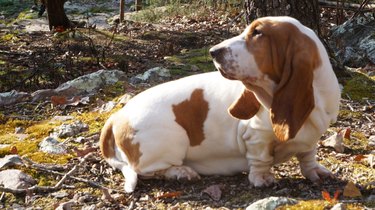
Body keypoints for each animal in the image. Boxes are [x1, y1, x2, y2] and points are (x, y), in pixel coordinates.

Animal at [99, 16, 340, 193]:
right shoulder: (256, 136)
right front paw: (262, 178)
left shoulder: (311, 139)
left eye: (258, 33)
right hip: (173, 141)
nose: (213, 52)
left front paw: (315, 172)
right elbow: (260, 158)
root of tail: (117, 116)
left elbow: (308, 155)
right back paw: (182, 172)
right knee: (148, 170)